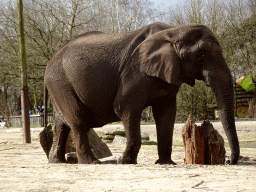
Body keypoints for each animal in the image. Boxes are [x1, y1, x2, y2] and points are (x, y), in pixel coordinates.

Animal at [44, 21, 240, 164]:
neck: (174, 30)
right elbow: (125, 108)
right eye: (202, 55)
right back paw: (91, 163)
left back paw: (57, 161)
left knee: (62, 124)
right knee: (78, 122)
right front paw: (124, 162)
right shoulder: (134, 72)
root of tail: (50, 60)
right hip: (60, 82)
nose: (228, 161)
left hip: (59, 85)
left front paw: (165, 163)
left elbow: (166, 114)